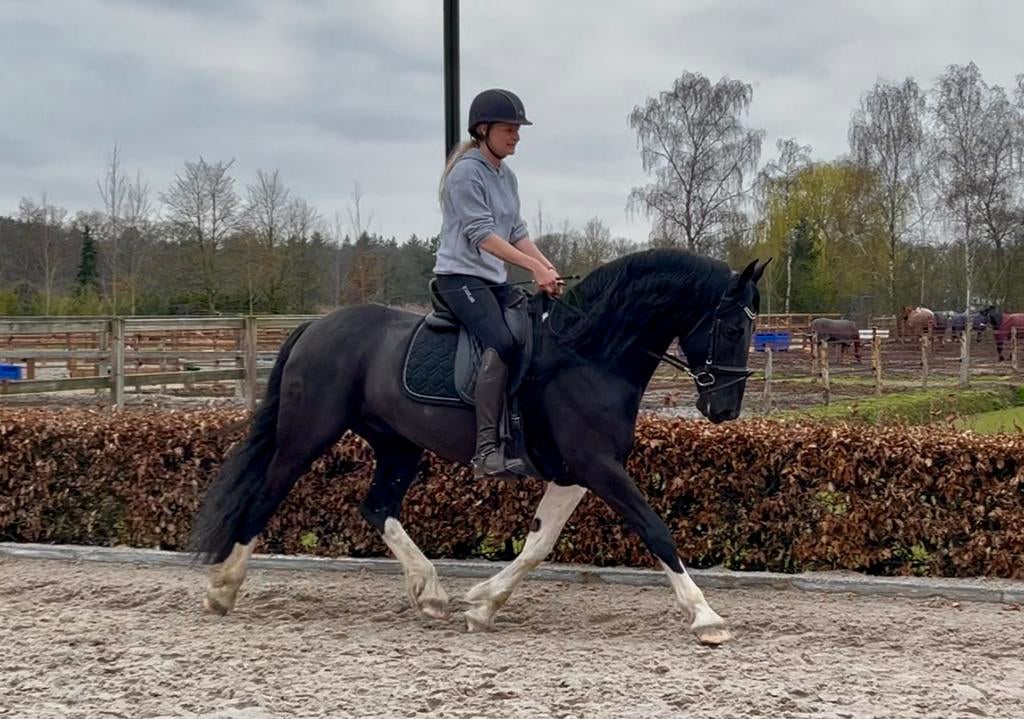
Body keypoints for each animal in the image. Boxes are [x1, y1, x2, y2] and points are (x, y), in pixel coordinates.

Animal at [189, 249, 769, 646]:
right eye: (731, 327)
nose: (724, 409)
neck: (590, 353)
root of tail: (316, 326)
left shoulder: (574, 472)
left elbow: (538, 544)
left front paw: (483, 605)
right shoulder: (598, 466)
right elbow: (655, 530)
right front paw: (706, 617)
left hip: (398, 444)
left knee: (378, 508)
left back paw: (430, 593)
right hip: (308, 434)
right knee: (266, 494)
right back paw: (223, 588)